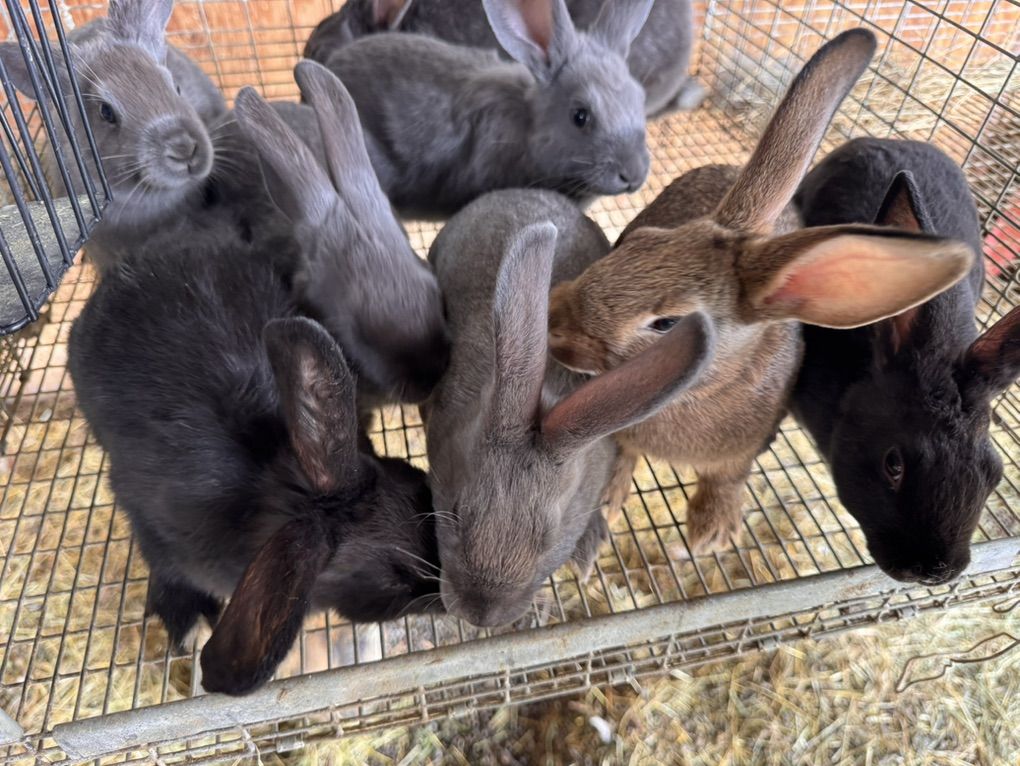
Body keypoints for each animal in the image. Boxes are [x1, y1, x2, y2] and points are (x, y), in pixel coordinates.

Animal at [545, 29, 978, 565]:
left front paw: (711, 532)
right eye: (635, 240)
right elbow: (623, 454)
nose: (554, 323)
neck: (700, 389)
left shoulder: (745, 447)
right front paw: (608, 497)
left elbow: (727, 477)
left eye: (666, 323)